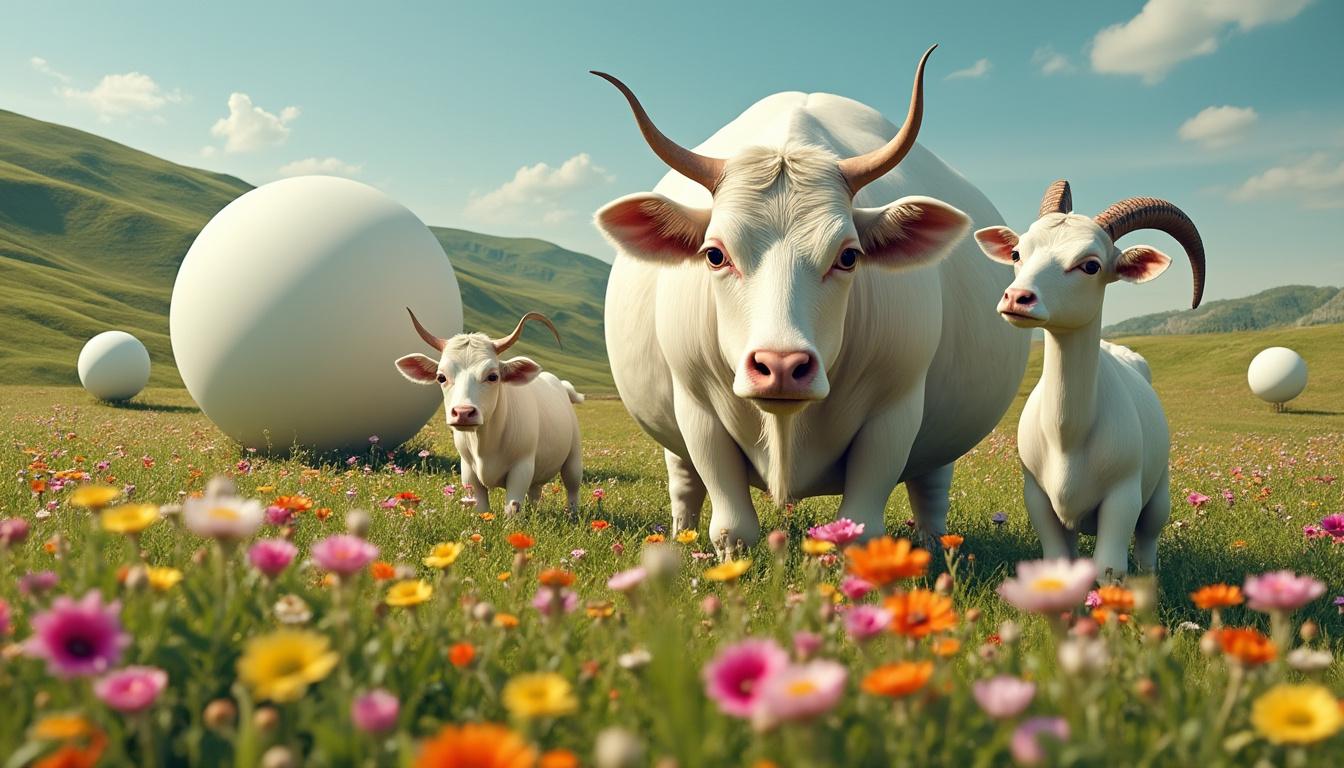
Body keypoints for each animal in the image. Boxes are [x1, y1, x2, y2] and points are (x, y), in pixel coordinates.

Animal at [394, 310, 585, 516]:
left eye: (493, 376)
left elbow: (512, 507)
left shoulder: (522, 467)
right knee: (535, 491)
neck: (485, 443)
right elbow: (481, 506)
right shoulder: (468, 469)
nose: (463, 412)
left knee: (572, 486)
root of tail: (561, 385)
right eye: (441, 377)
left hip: (574, 457)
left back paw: (573, 513)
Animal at [591, 46, 1030, 555]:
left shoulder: (895, 411)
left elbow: (862, 526)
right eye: (715, 254)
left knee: (931, 490)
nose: (781, 366)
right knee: (684, 486)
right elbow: (732, 527)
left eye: (848, 256)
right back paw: (681, 539)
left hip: (942, 444)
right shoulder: (697, 407)